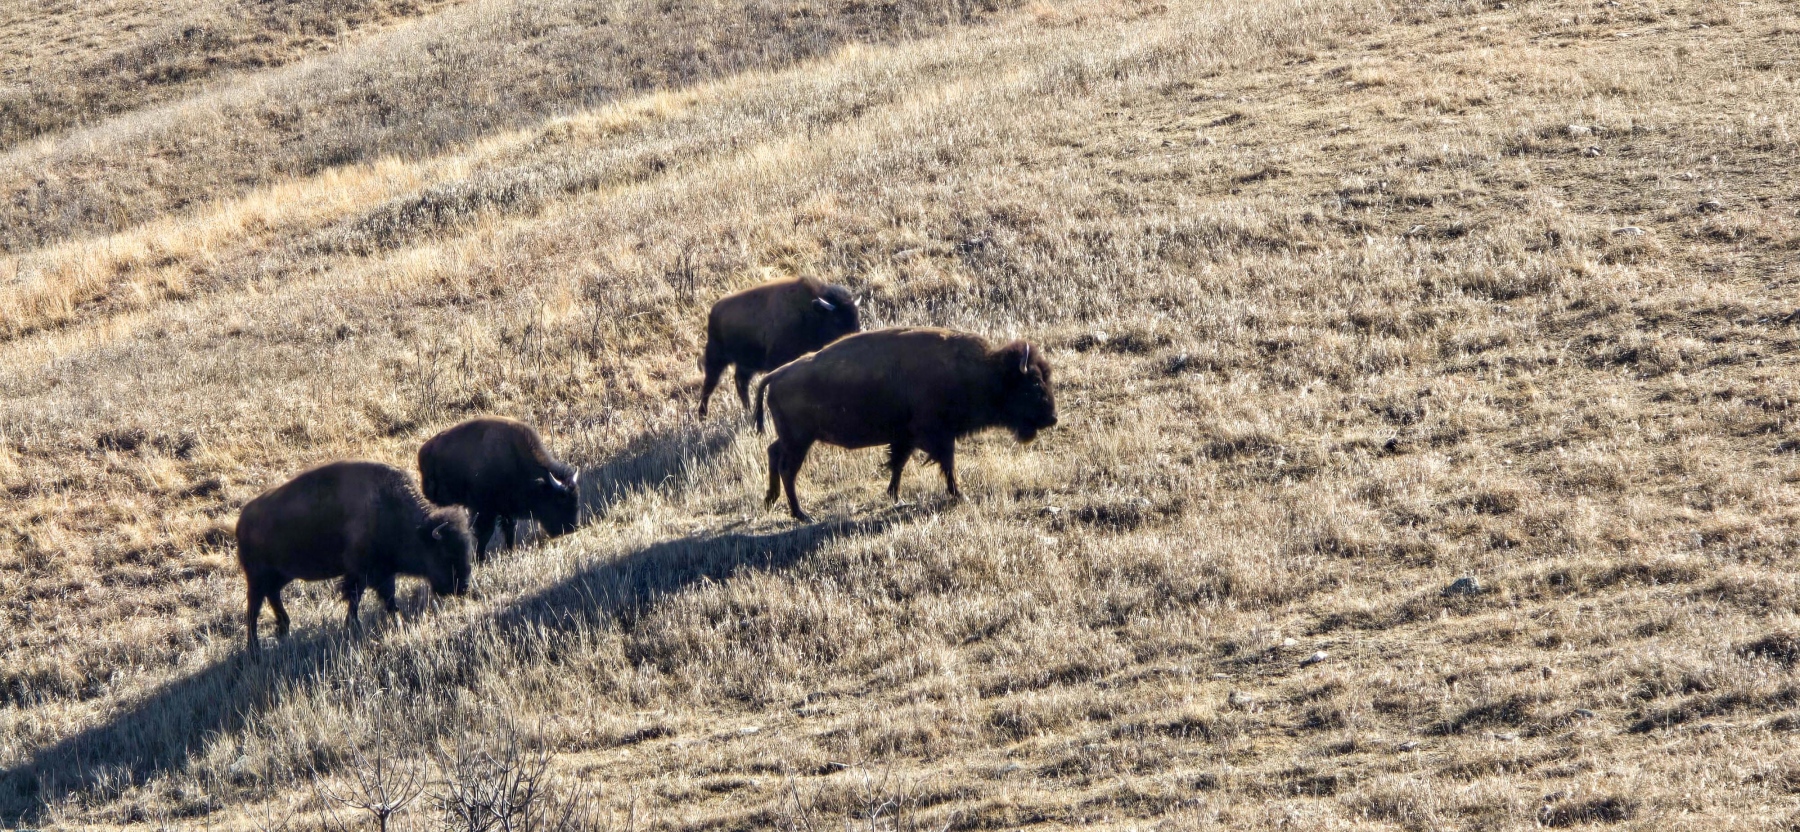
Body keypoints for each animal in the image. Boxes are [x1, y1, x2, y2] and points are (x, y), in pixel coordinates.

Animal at [236, 460, 473, 654]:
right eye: (444, 553)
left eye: (467, 549)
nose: (462, 587)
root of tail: (241, 522)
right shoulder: (367, 572)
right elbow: (370, 597)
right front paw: (378, 624)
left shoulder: (377, 572)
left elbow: (367, 598)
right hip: (257, 578)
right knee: (254, 608)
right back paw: (254, 648)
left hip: (281, 575)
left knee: (272, 596)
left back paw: (284, 629)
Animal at [418, 417, 580, 562]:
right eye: (560, 499)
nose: (573, 527)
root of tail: (423, 451)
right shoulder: (485, 509)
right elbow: (485, 533)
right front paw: (480, 559)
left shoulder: (506, 509)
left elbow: (509, 529)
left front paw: (510, 550)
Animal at [699, 276, 860, 418]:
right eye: (837, 320)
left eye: (856, 317)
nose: (854, 336)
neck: (809, 312)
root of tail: (714, 310)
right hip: (716, 357)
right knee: (710, 384)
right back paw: (703, 415)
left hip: (746, 364)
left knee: (740, 382)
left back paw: (747, 410)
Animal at [753, 327, 1058, 521]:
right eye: (1033, 384)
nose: (1052, 418)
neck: (983, 370)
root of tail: (776, 375)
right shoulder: (937, 436)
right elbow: (947, 464)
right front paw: (959, 495)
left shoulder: (906, 437)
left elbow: (898, 464)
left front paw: (894, 496)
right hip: (800, 440)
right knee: (788, 469)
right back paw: (802, 514)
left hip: (792, 438)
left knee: (773, 453)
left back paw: (771, 500)